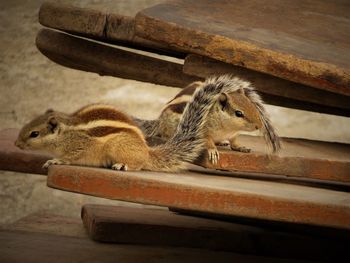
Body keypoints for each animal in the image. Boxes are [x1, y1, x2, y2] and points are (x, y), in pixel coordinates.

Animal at [15, 76, 227, 171]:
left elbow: (71, 157)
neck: (65, 133)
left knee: (138, 165)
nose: (16, 144)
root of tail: (146, 151)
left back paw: (123, 165)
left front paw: (56, 160)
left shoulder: (79, 146)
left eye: (34, 134)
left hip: (117, 147)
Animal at [134, 75, 282, 165]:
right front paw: (212, 151)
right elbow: (208, 141)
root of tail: (159, 122)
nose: (259, 125)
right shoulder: (203, 130)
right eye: (238, 113)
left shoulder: (233, 134)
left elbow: (234, 142)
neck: (227, 129)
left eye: (252, 105)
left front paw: (240, 147)